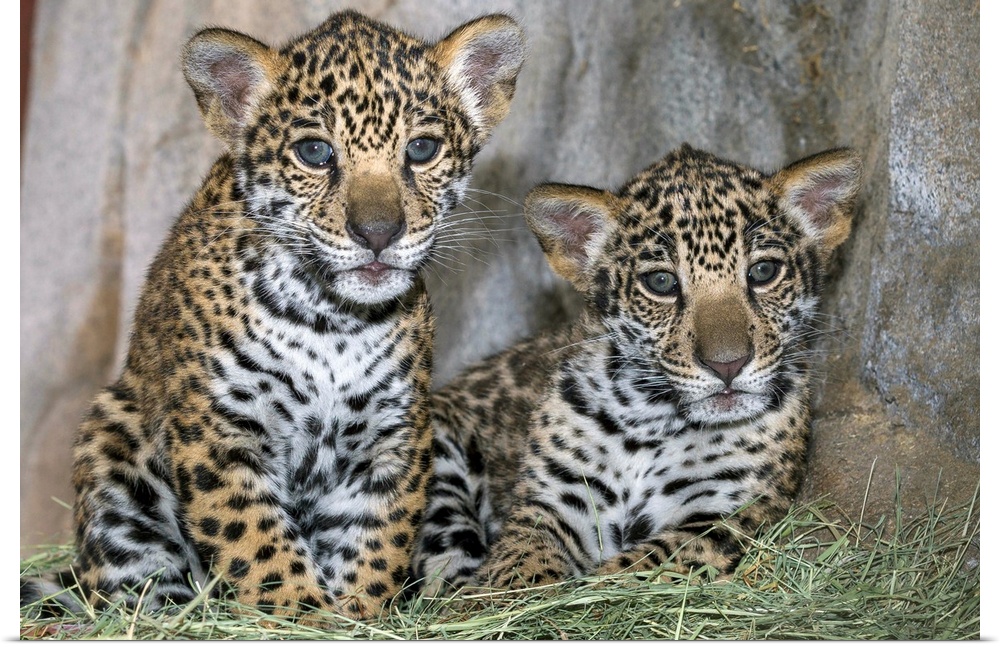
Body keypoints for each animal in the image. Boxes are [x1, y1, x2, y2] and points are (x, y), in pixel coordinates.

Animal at [20, 9, 525, 622]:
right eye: (315, 154)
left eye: (422, 149)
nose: (378, 233)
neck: (333, 321)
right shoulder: (220, 431)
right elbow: (258, 543)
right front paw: (299, 614)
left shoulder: (392, 436)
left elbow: (375, 543)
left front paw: (356, 618)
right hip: (112, 441)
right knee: (129, 585)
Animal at [412, 144, 862, 595]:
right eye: (661, 283)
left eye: (763, 272)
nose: (727, 365)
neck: (649, 419)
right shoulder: (552, 502)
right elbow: (521, 566)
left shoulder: (721, 517)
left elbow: (631, 572)